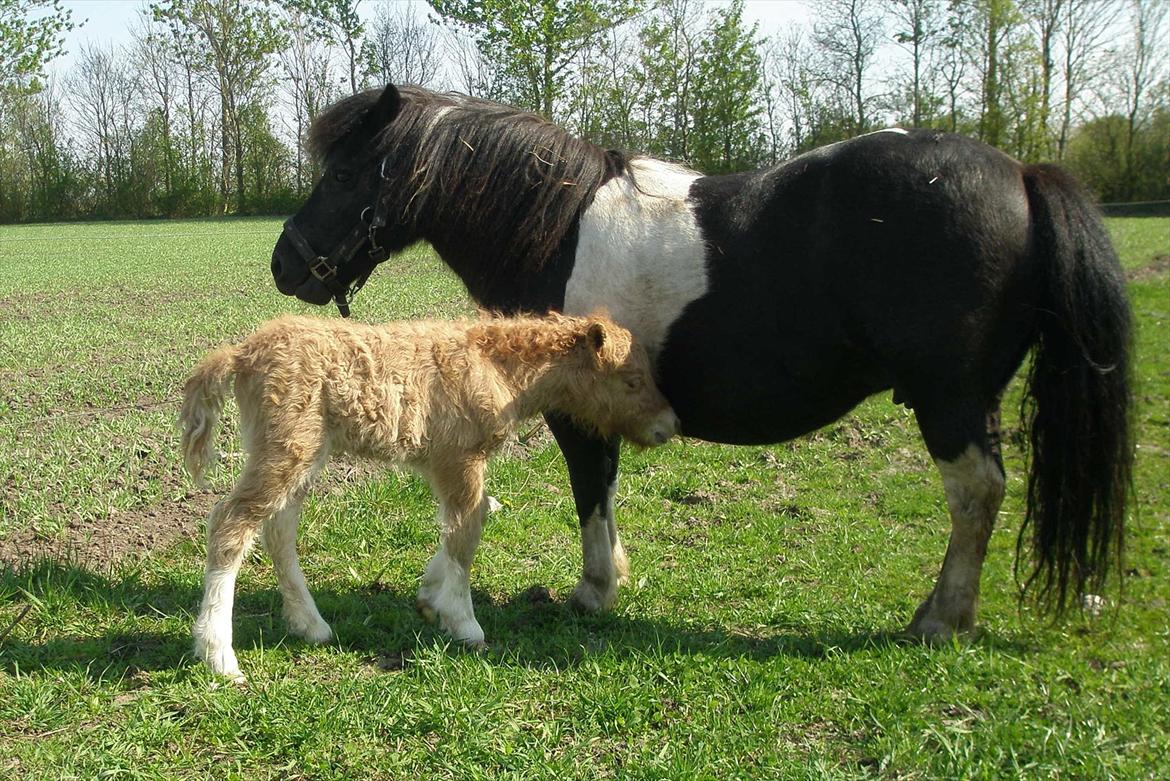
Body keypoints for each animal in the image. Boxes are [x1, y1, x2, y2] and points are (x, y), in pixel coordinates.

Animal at [177, 313, 683, 678]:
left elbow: (470, 519)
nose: (669, 425)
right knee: (231, 524)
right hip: (287, 445)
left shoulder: (449, 464)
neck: (497, 369)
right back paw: (218, 654)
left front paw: (430, 597)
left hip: (303, 450)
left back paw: (311, 625)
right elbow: (466, 532)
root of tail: (242, 353)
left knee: (277, 530)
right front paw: (464, 622)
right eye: (631, 380)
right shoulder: (460, 458)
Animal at [269, 85, 1127, 640]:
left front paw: (593, 590)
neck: (556, 227)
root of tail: (1022, 174)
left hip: (948, 400)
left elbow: (590, 490)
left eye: (344, 172)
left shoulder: (576, 411)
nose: (285, 263)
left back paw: (941, 619)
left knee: (977, 494)